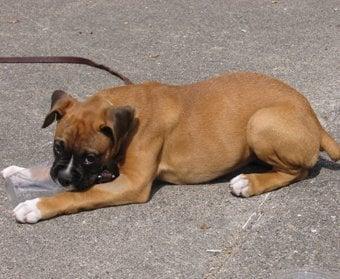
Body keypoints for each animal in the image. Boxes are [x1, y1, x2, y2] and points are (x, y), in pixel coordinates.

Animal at [11, 73, 338, 224]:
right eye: (57, 148)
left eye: (91, 158)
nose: (64, 178)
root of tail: (312, 116)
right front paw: (18, 172)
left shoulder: (131, 184)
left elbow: (79, 195)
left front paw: (35, 206)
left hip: (260, 122)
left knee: (298, 171)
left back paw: (249, 182)